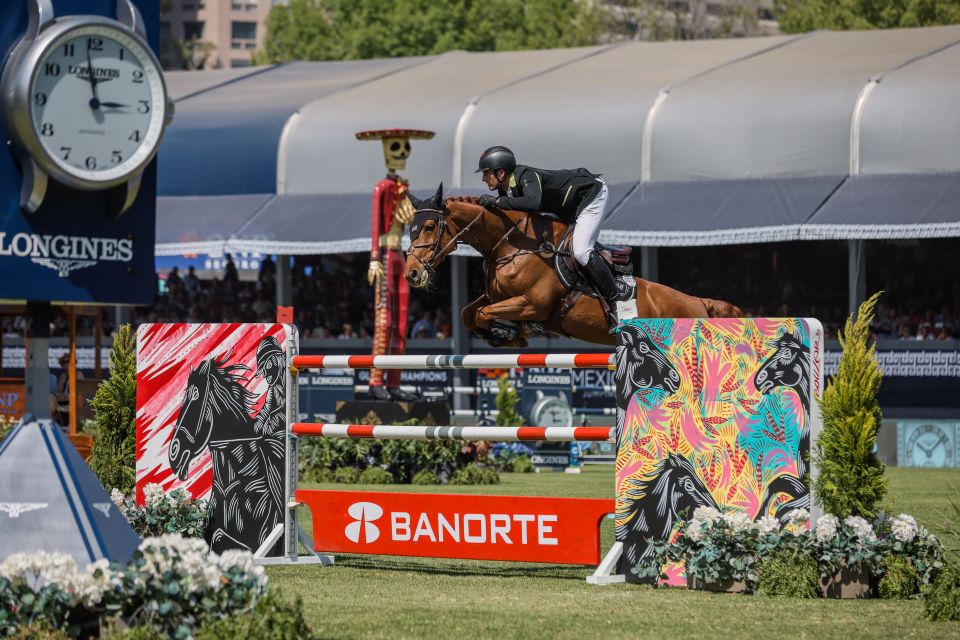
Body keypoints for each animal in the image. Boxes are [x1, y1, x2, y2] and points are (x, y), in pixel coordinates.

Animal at [402, 182, 740, 348]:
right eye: (410, 229)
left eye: (430, 227)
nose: (412, 274)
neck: (513, 246)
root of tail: (701, 303)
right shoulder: (496, 297)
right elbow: (468, 312)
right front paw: (503, 334)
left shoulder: (531, 304)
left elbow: (485, 313)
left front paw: (508, 333)